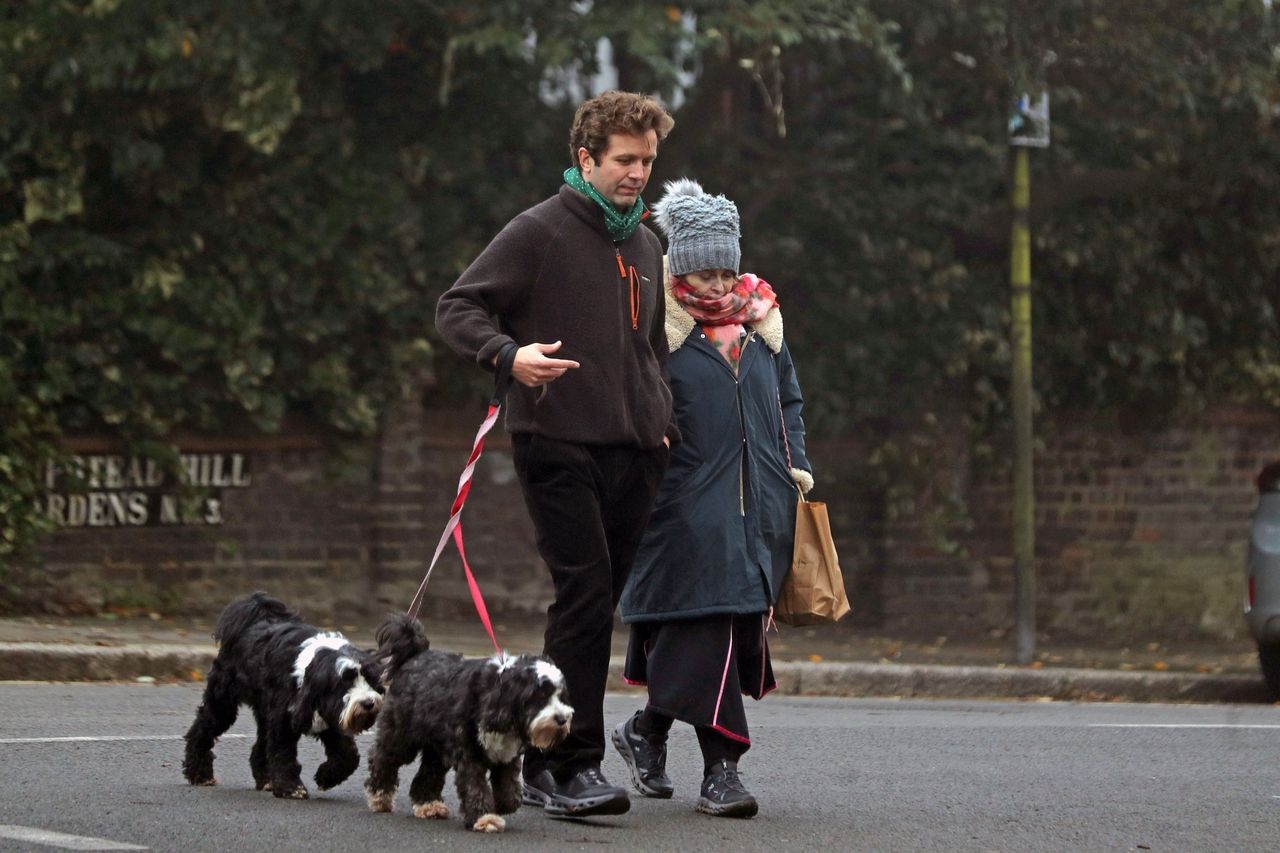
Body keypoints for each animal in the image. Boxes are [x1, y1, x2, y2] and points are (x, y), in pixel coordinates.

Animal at [183, 591, 384, 799]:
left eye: (371, 678)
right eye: (344, 681)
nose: (368, 703)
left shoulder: (329, 715)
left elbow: (348, 755)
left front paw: (326, 777)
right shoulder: (283, 721)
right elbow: (283, 754)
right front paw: (291, 787)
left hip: (263, 711)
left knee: (260, 747)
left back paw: (266, 780)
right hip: (223, 703)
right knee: (201, 731)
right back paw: (199, 774)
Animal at [366, 612, 576, 829]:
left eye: (561, 696)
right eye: (539, 696)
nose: (562, 719)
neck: (498, 696)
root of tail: (414, 656)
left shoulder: (506, 757)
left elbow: (510, 791)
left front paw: (501, 805)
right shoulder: (469, 755)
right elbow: (475, 786)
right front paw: (485, 817)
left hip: (438, 748)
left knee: (429, 772)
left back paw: (429, 805)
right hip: (402, 736)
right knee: (383, 757)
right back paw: (380, 796)